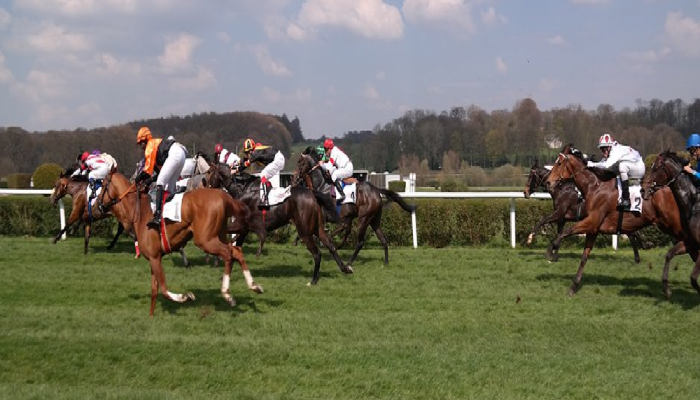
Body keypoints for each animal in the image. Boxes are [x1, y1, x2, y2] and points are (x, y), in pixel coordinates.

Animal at [97, 170, 264, 318]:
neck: (138, 212)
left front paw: (186, 296)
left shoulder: (155, 258)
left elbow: (164, 289)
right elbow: (154, 290)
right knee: (236, 251)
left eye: (103, 184)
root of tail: (224, 195)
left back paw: (227, 294)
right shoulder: (153, 257)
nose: (98, 204)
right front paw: (151, 316)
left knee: (228, 253)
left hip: (205, 240)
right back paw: (254, 286)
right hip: (219, 235)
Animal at [205, 164, 352, 286]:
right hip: (317, 228)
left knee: (317, 253)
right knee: (330, 245)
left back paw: (313, 280)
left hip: (305, 231)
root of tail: (312, 193)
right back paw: (345, 268)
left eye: (209, 172)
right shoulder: (244, 229)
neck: (243, 190)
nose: (206, 187)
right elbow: (235, 245)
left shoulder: (241, 225)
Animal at [544, 144, 688, 296]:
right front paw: (573, 286)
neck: (595, 187)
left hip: (672, 223)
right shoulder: (593, 228)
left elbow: (566, 231)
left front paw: (551, 249)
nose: (548, 182)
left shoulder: (591, 222)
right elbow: (584, 257)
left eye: (559, 163)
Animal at [644, 152, 700, 298]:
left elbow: (693, 277)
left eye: (657, 167)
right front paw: (667, 289)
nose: (643, 189)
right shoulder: (689, 242)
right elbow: (669, 254)